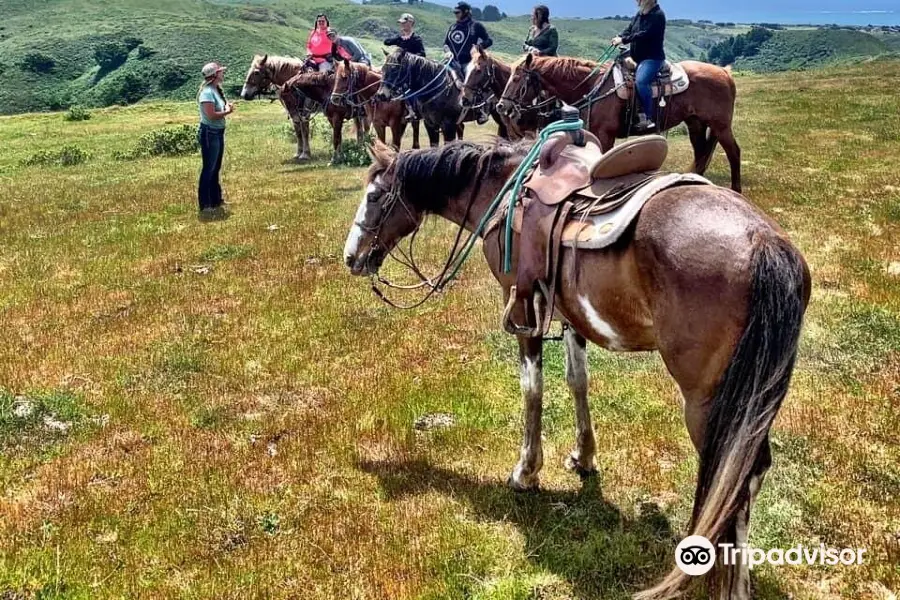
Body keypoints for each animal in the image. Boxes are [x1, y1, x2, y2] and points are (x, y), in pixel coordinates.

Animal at [342, 142, 808, 600]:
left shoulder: (522, 309)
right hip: (754, 398)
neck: (502, 193)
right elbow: (577, 380)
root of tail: (764, 241)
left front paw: (526, 472)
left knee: (735, 477)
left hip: (708, 402)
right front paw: (584, 456)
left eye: (375, 196)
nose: (351, 257)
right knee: (750, 471)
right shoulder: (570, 315)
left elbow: (533, 390)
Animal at [496, 53, 740, 191]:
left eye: (516, 78)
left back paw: (736, 188)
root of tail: (724, 72)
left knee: (733, 152)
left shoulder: (605, 135)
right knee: (700, 153)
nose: (501, 106)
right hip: (695, 123)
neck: (592, 85)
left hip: (720, 125)